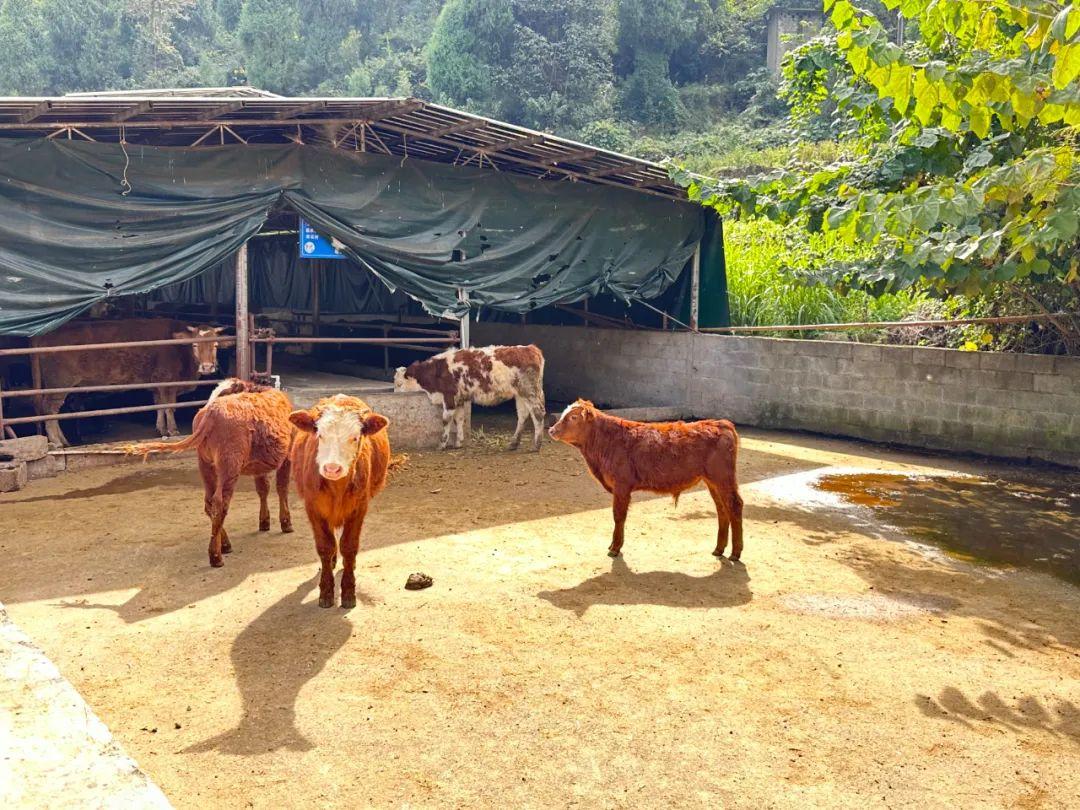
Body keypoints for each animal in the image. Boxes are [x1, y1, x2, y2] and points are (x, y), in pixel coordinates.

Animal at [32, 317, 225, 447]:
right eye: (195, 344)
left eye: (215, 345)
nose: (207, 367)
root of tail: (43, 337)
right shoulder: (167, 381)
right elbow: (169, 407)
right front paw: (173, 430)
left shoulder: (156, 383)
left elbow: (159, 405)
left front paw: (161, 429)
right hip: (58, 384)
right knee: (50, 410)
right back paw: (57, 442)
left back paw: (64, 441)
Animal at [127, 380, 293, 570]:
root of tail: (212, 410)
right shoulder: (288, 456)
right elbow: (282, 488)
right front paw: (286, 523)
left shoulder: (259, 466)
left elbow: (263, 489)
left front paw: (264, 522)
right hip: (229, 466)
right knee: (220, 503)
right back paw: (216, 556)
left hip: (206, 464)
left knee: (209, 503)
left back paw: (225, 544)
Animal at [289, 397, 390, 613]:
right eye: (319, 435)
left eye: (355, 437)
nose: (332, 468)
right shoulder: (313, 508)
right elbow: (325, 546)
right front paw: (326, 592)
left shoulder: (359, 508)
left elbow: (349, 547)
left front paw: (349, 592)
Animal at [395, 345, 548, 453]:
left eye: (399, 384)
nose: (395, 392)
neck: (438, 370)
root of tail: (530, 348)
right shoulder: (459, 400)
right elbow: (459, 419)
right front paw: (458, 443)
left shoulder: (449, 397)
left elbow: (446, 421)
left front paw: (442, 444)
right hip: (520, 395)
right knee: (523, 416)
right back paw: (513, 444)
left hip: (529, 392)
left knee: (537, 414)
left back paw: (536, 445)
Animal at [548, 401, 743, 565]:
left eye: (573, 417)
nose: (551, 430)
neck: (607, 442)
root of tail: (721, 423)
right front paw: (613, 545)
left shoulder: (622, 486)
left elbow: (618, 516)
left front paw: (615, 548)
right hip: (713, 482)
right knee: (722, 509)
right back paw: (719, 549)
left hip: (723, 478)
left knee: (734, 505)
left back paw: (735, 553)